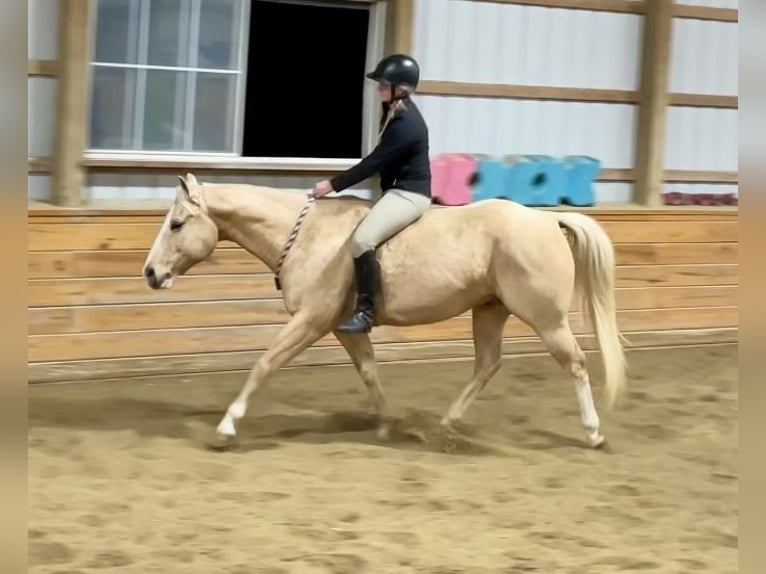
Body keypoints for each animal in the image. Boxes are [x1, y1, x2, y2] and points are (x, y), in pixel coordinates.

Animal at [142, 173, 627, 449]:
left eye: (177, 224)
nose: (150, 273)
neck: (307, 236)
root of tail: (546, 219)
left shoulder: (310, 321)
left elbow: (264, 364)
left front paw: (227, 428)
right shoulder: (345, 328)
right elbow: (370, 372)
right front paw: (387, 426)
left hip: (546, 318)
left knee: (575, 364)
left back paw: (594, 433)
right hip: (489, 310)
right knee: (487, 364)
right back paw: (444, 427)